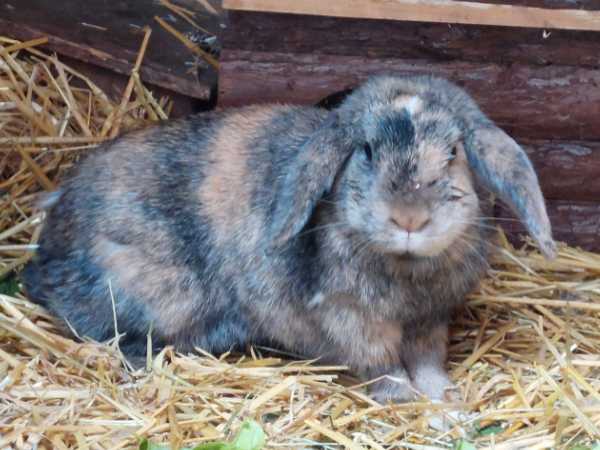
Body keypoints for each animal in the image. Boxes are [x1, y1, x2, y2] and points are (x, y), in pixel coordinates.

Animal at [21, 75, 556, 402]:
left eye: (453, 154)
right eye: (366, 150)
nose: (408, 218)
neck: (405, 269)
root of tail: (48, 252)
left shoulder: (430, 321)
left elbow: (428, 363)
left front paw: (444, 398)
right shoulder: (351, 318)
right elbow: (382, 364)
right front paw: (404, 399)